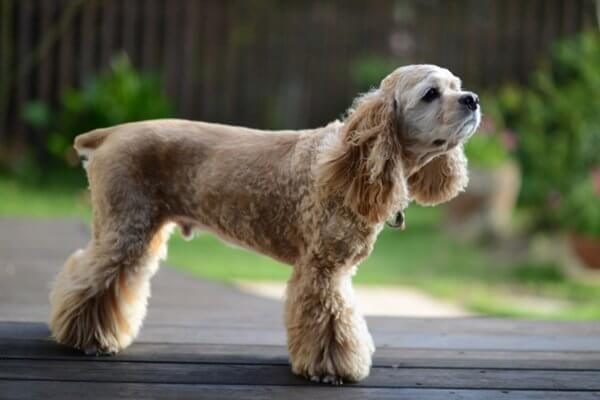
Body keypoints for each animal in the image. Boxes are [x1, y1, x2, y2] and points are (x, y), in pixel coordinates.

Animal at [49, 65, 480, 384]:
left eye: (457, 86)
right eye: (430, 94)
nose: (473, 99)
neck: (349, 162)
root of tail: (111, 134)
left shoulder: (331, 269)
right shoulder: (322, 269)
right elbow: (331, 321)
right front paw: (331, 369)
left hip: (143, 232)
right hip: (125, 228)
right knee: (89, 277)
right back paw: (86, 339)